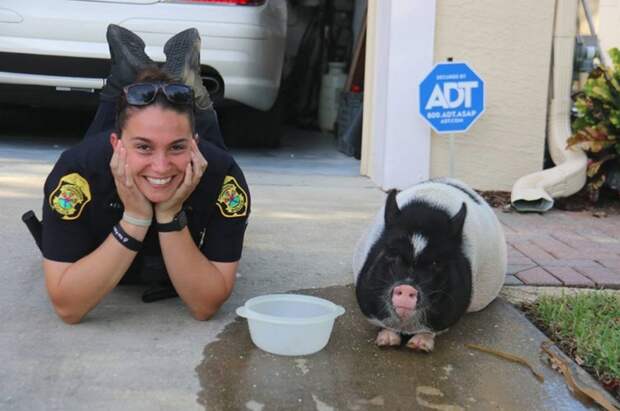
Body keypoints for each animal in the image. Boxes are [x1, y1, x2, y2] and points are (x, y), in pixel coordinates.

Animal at [352, 179, 506, 352]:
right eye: (392, 254)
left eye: (436, 262)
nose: (407, 287)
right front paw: (386, 342)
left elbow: (431, 330)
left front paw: (419, 346)